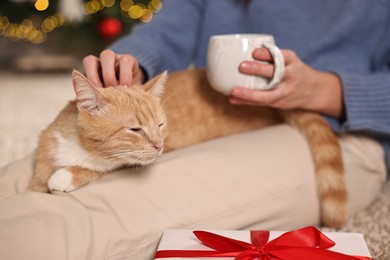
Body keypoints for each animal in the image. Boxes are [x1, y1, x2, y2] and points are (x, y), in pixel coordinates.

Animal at [29, 69, 348, 228]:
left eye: (160, 125)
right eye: (135, 129)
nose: (159, 146)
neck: (81, 146)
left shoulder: (114, 164)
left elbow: (93, 169)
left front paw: (65, 176)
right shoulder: (47, 142)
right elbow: (38, 175)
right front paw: (39, 183)